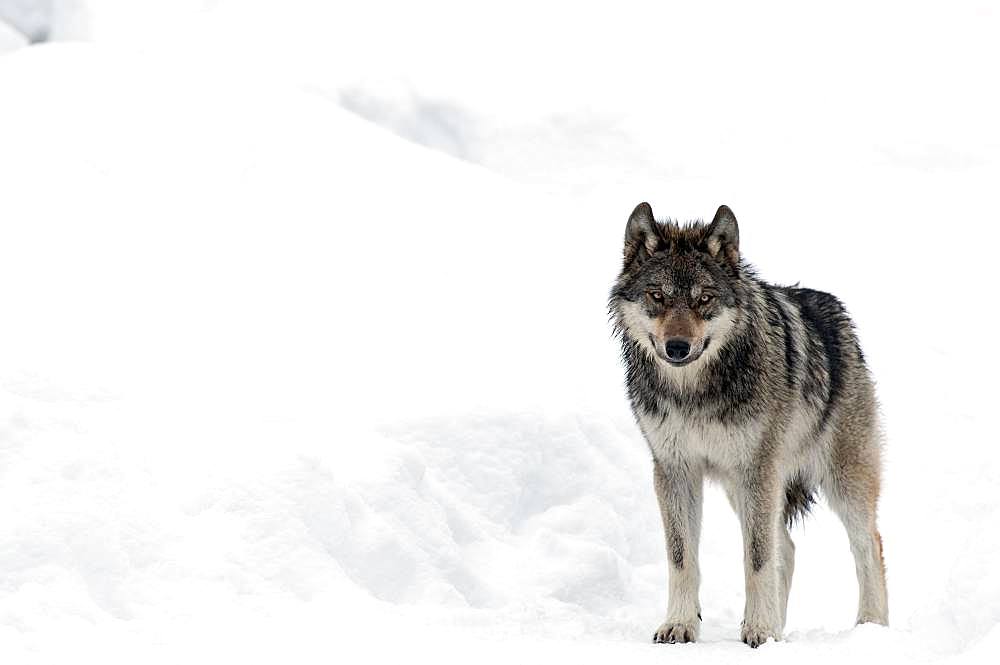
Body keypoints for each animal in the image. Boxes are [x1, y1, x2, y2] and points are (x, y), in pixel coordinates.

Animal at [604, 204, 888, 648]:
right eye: (657, 296)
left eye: (705, 298)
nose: (677, 347)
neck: (695, 393)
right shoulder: (675, 470)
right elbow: (682, 558)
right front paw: (681, 624)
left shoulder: (758, 469)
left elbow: (755, 558)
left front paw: (760, 630)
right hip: (743, 488)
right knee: (786, 549)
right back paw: (782, 625)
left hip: (838, 482)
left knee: (868, 545)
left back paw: (870, 627)